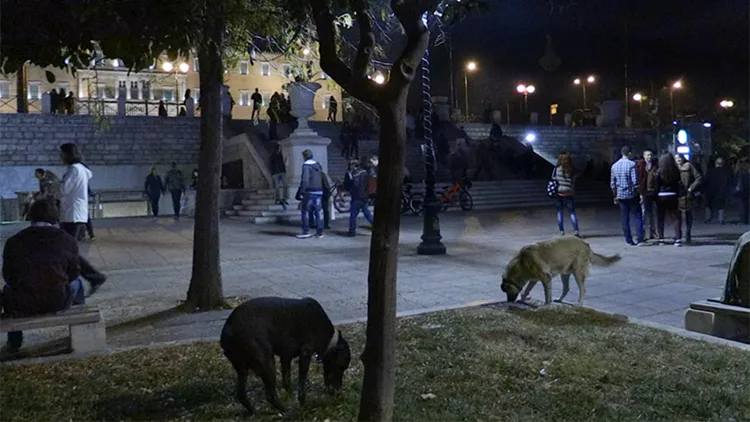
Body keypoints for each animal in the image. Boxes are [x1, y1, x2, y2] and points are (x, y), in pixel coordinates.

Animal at [220, 298, 352, 414]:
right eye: (341, 367)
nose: (338, 391)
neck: (330, 338)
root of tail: (228, 331)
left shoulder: (285, 357)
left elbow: (286, 381)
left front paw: (291, 395)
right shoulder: (305, 353)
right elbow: (301, 381)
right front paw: (302, 402)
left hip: (242, 368)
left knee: (241, 394)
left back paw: (254, 412)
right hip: (267, 362)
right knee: (270, 396)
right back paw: (285, 410)